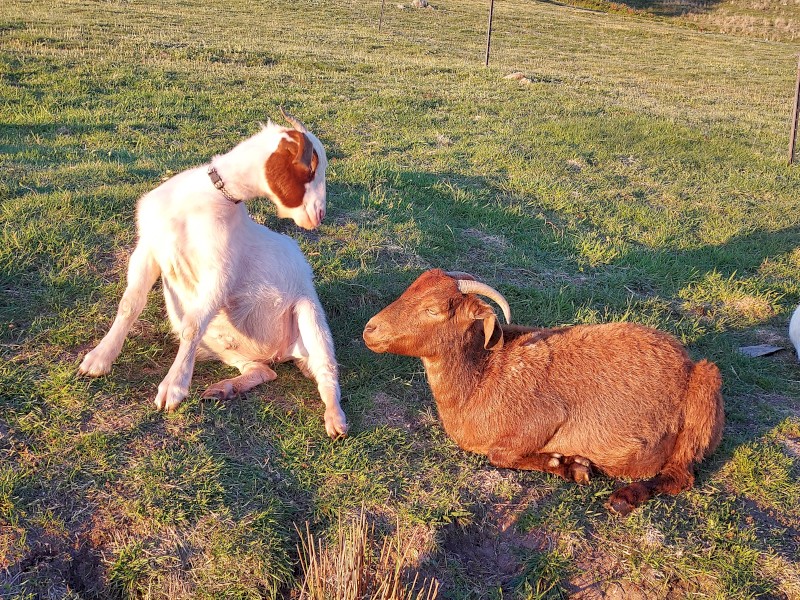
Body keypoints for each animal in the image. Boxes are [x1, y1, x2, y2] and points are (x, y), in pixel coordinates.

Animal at [79, 109, 348, 438]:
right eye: (310, 168)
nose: (319, 215)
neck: (204, 199)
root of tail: (279, 354)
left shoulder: (220, 272)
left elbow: (191, 327)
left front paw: (173, 388)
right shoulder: (148, 249)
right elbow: (130, 305)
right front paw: (98, 359)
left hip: (309, 314)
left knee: (326, 371)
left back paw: (335, 419)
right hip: (224, 346)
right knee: (262, 370)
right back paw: (225, 388)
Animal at [363, 269, 724, 515]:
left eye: (434, 309)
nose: (370, 330)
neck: (481, 379)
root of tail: (686, 361)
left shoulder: (544, 418)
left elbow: (500, 455)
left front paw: (571, 465)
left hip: (704, 396)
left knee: (680, 475)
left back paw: (624, 498)